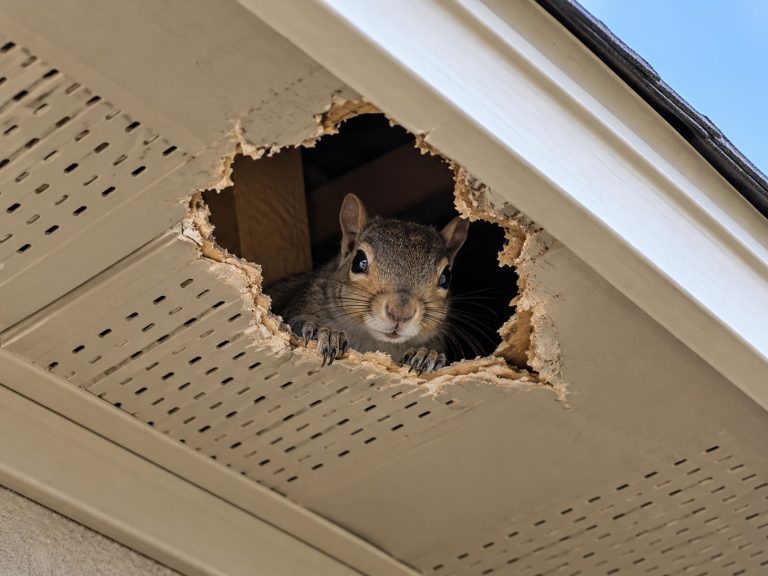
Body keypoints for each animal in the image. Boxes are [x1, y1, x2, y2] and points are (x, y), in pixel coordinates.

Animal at [268, 193, 469, 373]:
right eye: (359, 261)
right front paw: (328, 335)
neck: (372, 341)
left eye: (446, 277)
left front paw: (427, 354)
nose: (401, 313)